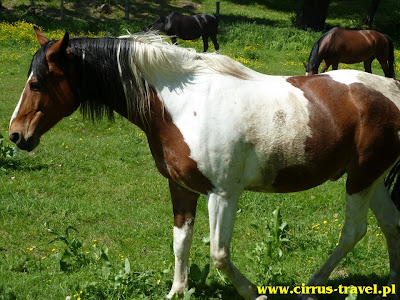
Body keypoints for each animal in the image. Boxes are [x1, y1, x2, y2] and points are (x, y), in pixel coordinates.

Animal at [8, 28, 400, 300]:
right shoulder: (182, 188)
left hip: (361, 178)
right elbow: (181, 242)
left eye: (36, 82)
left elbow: (218, 253)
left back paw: (314, 283)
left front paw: (253, 292)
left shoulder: (222, 194)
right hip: (373, 179)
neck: (183, 105)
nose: (15, 134)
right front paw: (177, 291)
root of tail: (392, 91)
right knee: (390, 224)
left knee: (354, 232)